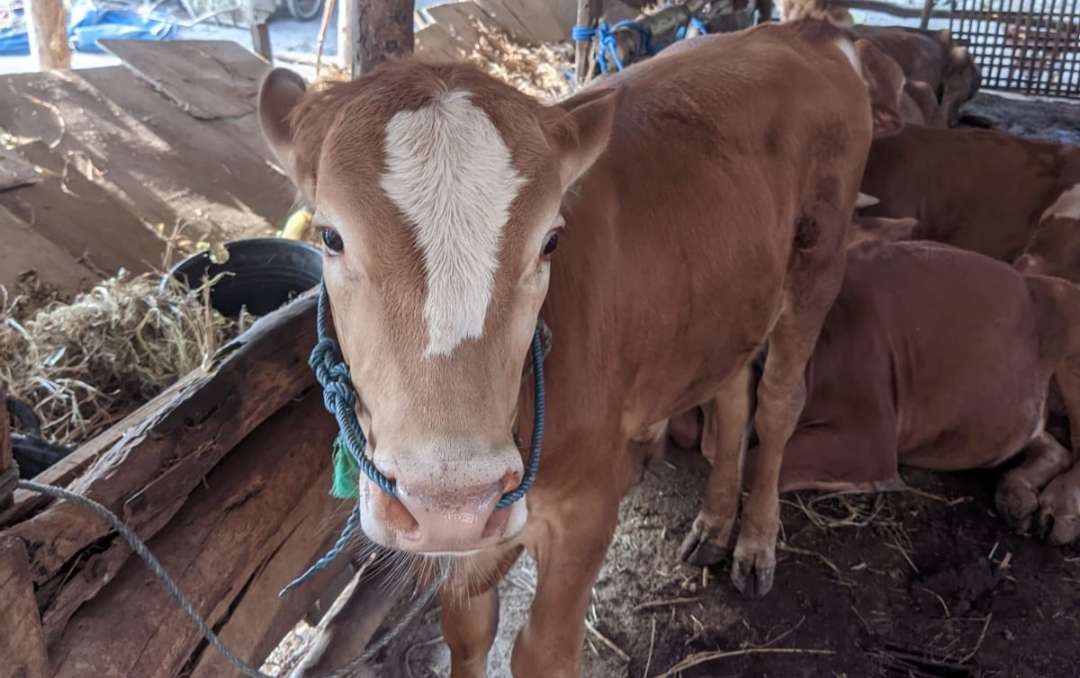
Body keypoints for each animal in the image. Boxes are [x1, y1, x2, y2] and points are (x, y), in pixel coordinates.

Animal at [257, 17, 898, 678]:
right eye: (330, 236)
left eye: (550, 242)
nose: (448, 504)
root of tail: (807, 30)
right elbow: (467, 634)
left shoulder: (588, 509)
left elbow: (544, 652)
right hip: (733, 291)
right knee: (732, 390)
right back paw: (715, 522)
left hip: (820, 259)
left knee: (777, 405)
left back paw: (754, 542)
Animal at [669, 238, 1080, 546]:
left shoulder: (868, 437)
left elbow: (751, 464)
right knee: (1051, 446)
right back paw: (1018, 495)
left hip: (1068, 311)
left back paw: (1058, 509)